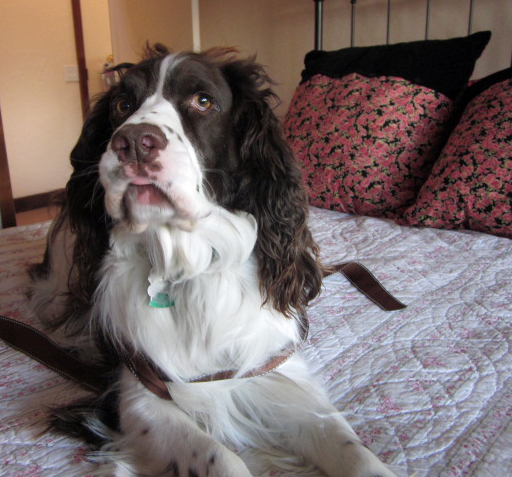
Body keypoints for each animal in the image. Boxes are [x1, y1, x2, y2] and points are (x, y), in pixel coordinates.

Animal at [28, 45, 396, 476]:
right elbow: (222, 458)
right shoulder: (136, 395)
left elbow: (352, 449)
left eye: (202, 101)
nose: (132, 142)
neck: (188, 264)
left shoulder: (272, 371)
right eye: (122, 104)